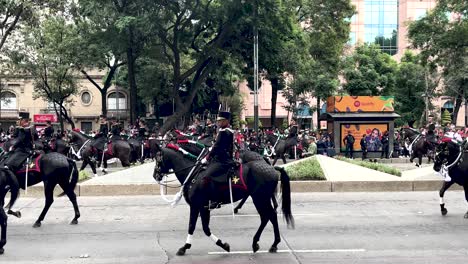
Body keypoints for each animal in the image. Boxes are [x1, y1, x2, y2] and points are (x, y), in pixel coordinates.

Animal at [154, 145, 292, 255]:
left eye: (158, 159)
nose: (155, 175)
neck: (193, 174)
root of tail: (272, 168)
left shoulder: (197, 206)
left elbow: (196, 227)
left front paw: (186, 247)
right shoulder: (202, 207)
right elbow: (201, 228)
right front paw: (223, 245)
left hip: (260, 199)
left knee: (268, 216)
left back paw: (266, 243)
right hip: (260, 198)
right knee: (269, 216)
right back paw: (267, 243)